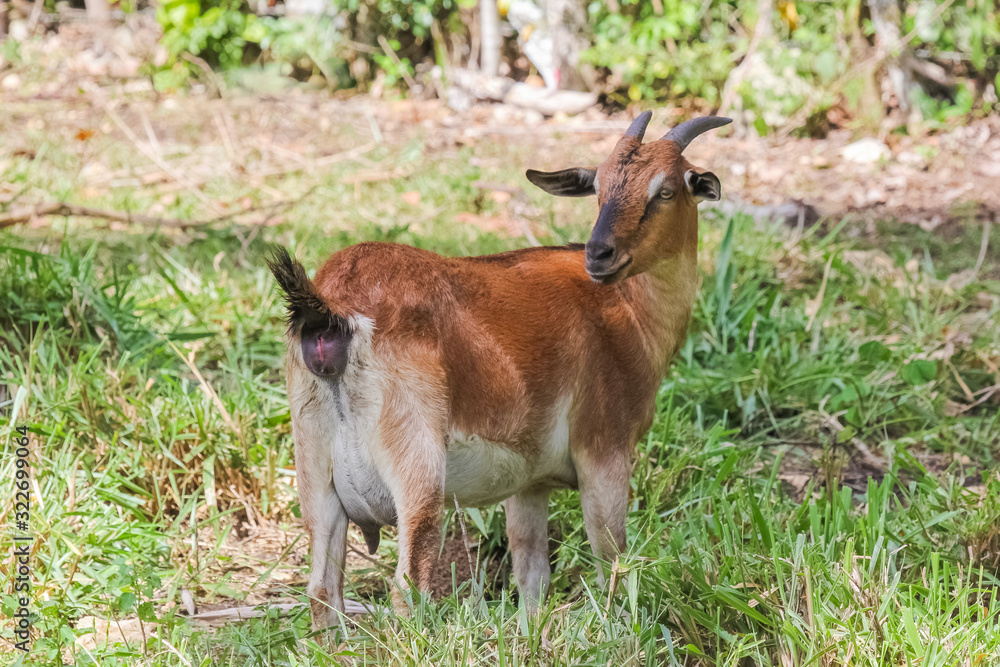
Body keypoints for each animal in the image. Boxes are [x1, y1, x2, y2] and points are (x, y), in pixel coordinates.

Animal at [269, 111, 730, 629]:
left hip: (315, 469)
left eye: (665, 190)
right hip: (416, 465)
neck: (627, 309)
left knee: (322, 590)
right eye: (599, 187)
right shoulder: (605, 450)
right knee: (407, 586)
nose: (599, 254)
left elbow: (532, 580)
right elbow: (612, 560)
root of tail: (331, 310)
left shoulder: (529, 484)